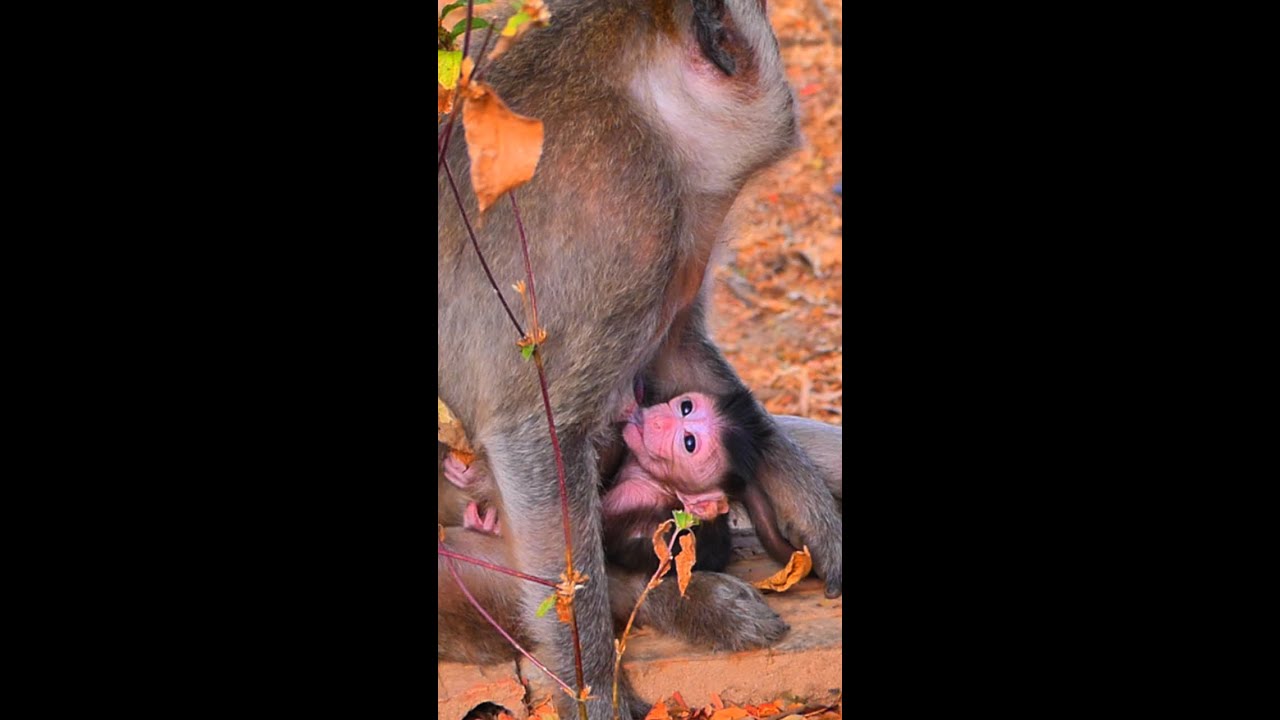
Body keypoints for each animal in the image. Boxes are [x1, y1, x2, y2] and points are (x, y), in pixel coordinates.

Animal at [438, 2, 841, 717]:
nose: (704, 249)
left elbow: (675, 350)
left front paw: (802, 495)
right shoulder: (630, 213)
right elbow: (533, 428)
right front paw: (592, 689)